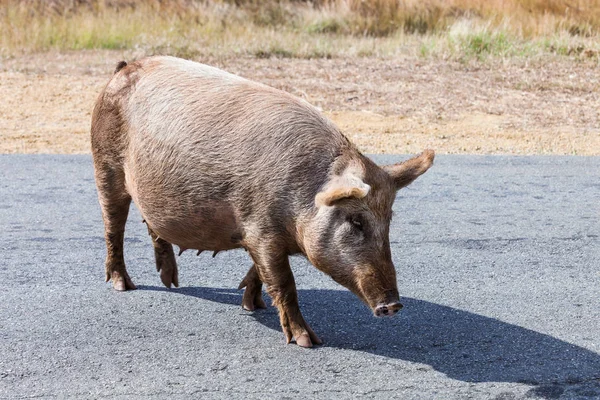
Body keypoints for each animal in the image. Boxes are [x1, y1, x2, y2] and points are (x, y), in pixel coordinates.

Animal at [91, 55, 434, 346]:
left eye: (389, 221)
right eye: (356, 221)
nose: (394, 304)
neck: (301, 199)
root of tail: (123, 68)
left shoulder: (259, 236)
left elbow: (261, 272)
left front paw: (252, 305)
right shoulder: (260, 229)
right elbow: (284, 281)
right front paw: (308, 341)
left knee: (152, 227)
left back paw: (171, 282)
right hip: (104, 164)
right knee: (113, 226)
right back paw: (124, 285)